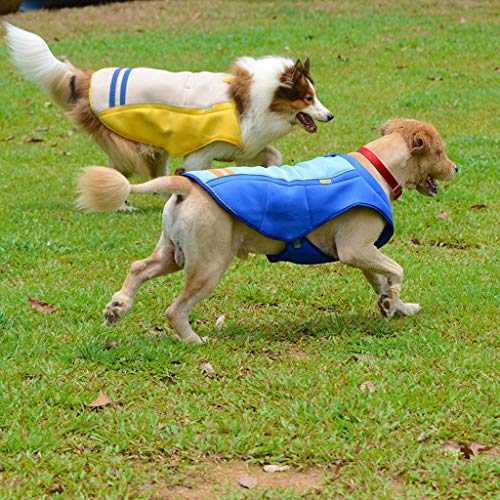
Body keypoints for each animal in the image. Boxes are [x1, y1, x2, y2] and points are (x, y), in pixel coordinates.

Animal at [4, 22, 332, 182]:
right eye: (308, 98)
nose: (329, 116)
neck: (252, 100)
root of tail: (88, 77)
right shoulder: (201, 152)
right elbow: (197, 170)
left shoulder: (243, 145)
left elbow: (272, 155)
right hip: (133, 142)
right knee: (124, 168)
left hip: (153, 145)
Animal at [77, 118, 458, 342]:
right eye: (440, 150)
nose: (456, 167)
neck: (377, 166)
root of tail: (186, 184)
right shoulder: (355, 249)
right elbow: (397, 268)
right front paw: (392, 301)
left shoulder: (365, 255)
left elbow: (383, 278)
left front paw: (397, 305)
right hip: (209, 264)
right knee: (175, 310)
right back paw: (194, 340)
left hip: (174, 253)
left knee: (139, 267)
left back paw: (117, 306)